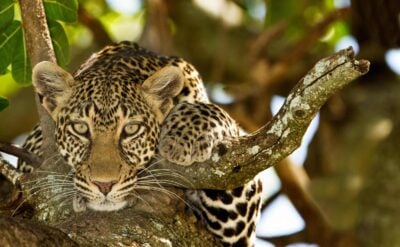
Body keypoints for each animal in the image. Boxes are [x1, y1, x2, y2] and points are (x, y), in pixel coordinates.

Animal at [10, 41, 262, 246]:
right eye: (80, 128)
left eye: (131, 129)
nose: (104, 185)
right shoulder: (33, 143)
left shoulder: (237, 227)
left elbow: (214, 114)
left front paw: (183, 138)